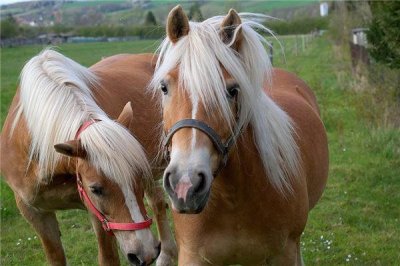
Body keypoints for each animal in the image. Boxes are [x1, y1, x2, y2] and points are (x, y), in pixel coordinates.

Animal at [148, 5, 330, 264]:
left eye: (232, 91)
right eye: (164, 87)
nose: (185, 184)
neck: (233, 196)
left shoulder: (283, 253)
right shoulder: (192, 256)